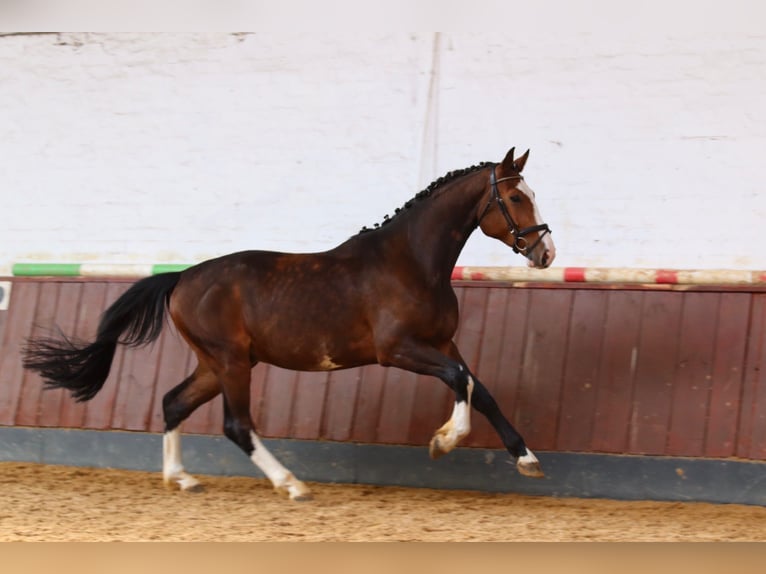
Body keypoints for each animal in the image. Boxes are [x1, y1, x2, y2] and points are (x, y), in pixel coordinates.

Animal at [22, 147, 555, 501]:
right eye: (515, 197)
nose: (545, 252)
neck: (411, 261)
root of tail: (182, 279)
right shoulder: (398, 350)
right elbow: (460, 381)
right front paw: (443, 442)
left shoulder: (443, 342)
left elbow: (479, 389)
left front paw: (527, 460)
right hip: (232, 363)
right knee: (237, 424)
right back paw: (291, 484)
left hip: (216, 364)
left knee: (174, 402)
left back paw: (182, 478)